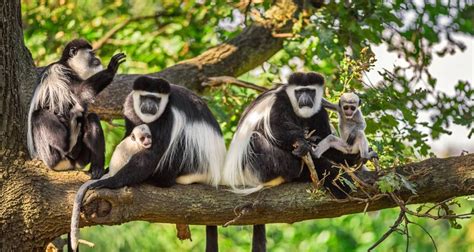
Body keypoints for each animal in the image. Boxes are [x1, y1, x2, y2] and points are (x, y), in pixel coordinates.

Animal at [26, 38, 125, 178]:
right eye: (92, 53)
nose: (97, 58)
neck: (70, 66)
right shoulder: (60, 71)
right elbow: (80, 92)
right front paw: (111, 69)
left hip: (81, 158)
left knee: (91, 118)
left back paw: (96, 169)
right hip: (51, 155)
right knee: (39, 115)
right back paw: (68, 143)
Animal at [84, 76, 226, 252]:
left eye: (156, 99)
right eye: (145, 97)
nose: (150, 105)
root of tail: (214, 173)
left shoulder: (168, 117)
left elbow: (153, 153)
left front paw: (111, 181)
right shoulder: (130, 105)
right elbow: (130, 133)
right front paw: (105, 170)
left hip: (194, 163)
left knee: (179, 143)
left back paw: (160, 180)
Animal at [222, 71, 362, 252]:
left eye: (310, 91)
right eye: (299, 91)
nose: (304, 99)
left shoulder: (319, 111)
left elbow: (325, 138)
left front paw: (351, 156)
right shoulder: (279, 102)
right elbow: (276, 126)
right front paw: (301, 142)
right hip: (257, 167)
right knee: (256, 139)